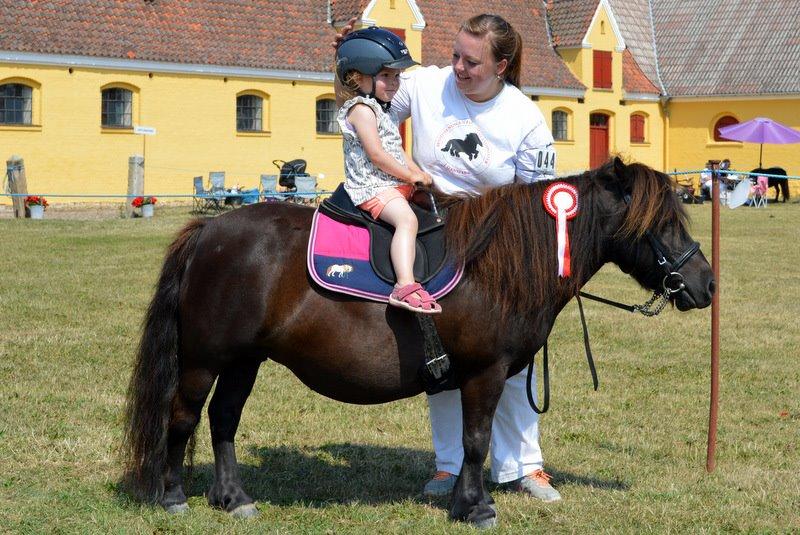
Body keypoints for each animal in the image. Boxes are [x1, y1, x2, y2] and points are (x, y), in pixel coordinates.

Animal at [123, 158, 712, 528]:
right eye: (662, 222)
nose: (705, 284)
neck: (497, 264)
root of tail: (209, 232)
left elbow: (476, 442)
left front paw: (463, 502)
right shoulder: (484, 373)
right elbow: (475, 441)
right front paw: (475, 507)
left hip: (244, 361)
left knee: (223, 420)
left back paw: (233, 498)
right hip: (204, 360)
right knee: (182, 417)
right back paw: (173, 496)